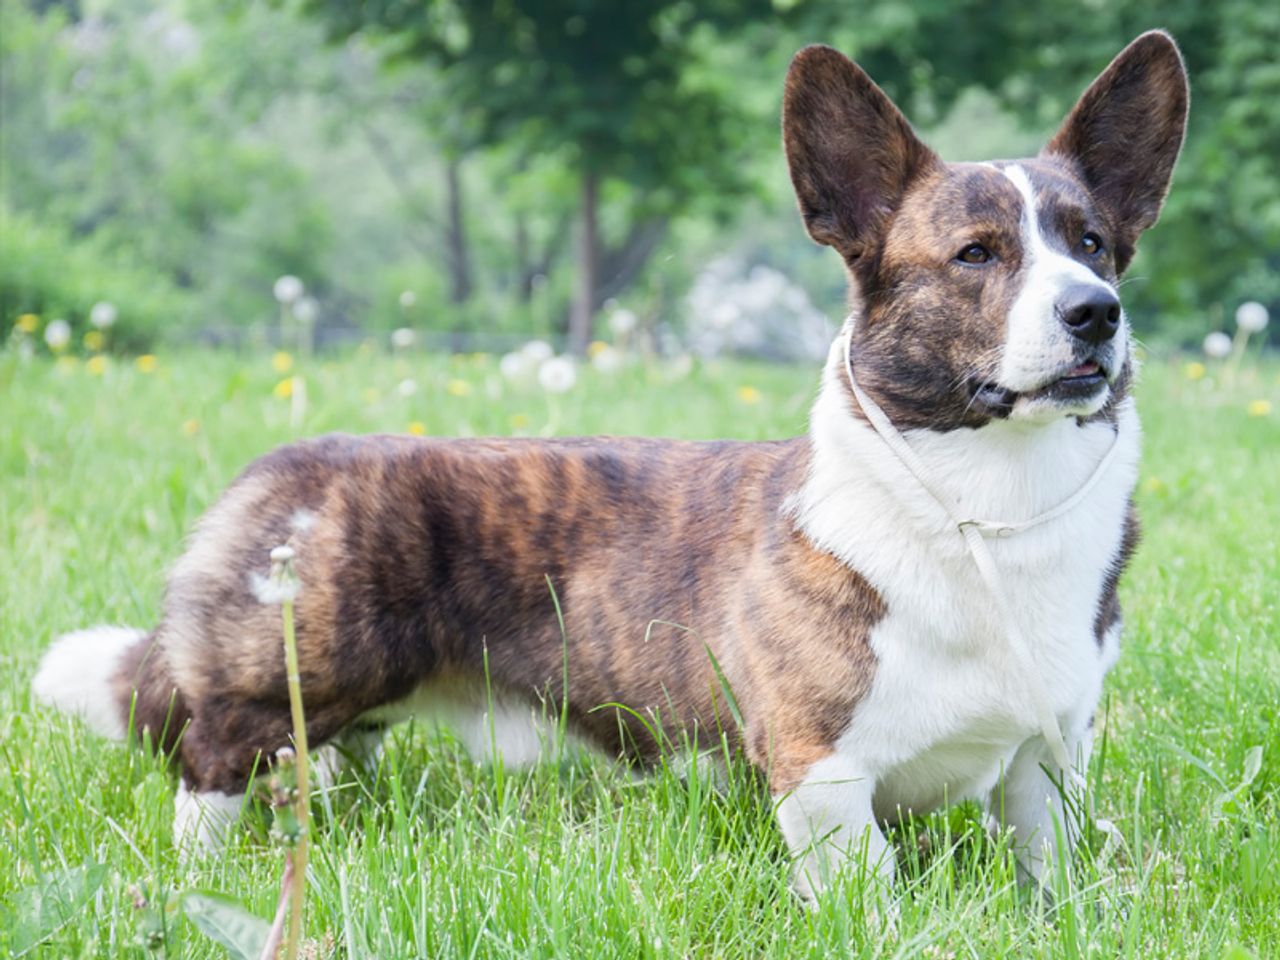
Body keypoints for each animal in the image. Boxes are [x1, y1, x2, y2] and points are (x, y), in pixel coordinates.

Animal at [32, 30, 1187, 901]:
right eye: (976, 254)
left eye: (1092, 243)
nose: (1097, 314)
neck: (985, 505)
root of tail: (273, 471)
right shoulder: (821, 772)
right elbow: (865, 889)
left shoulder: (1047, 759)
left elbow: (1044, 864)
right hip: (282, 682)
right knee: (211, 764)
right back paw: (202, 875)